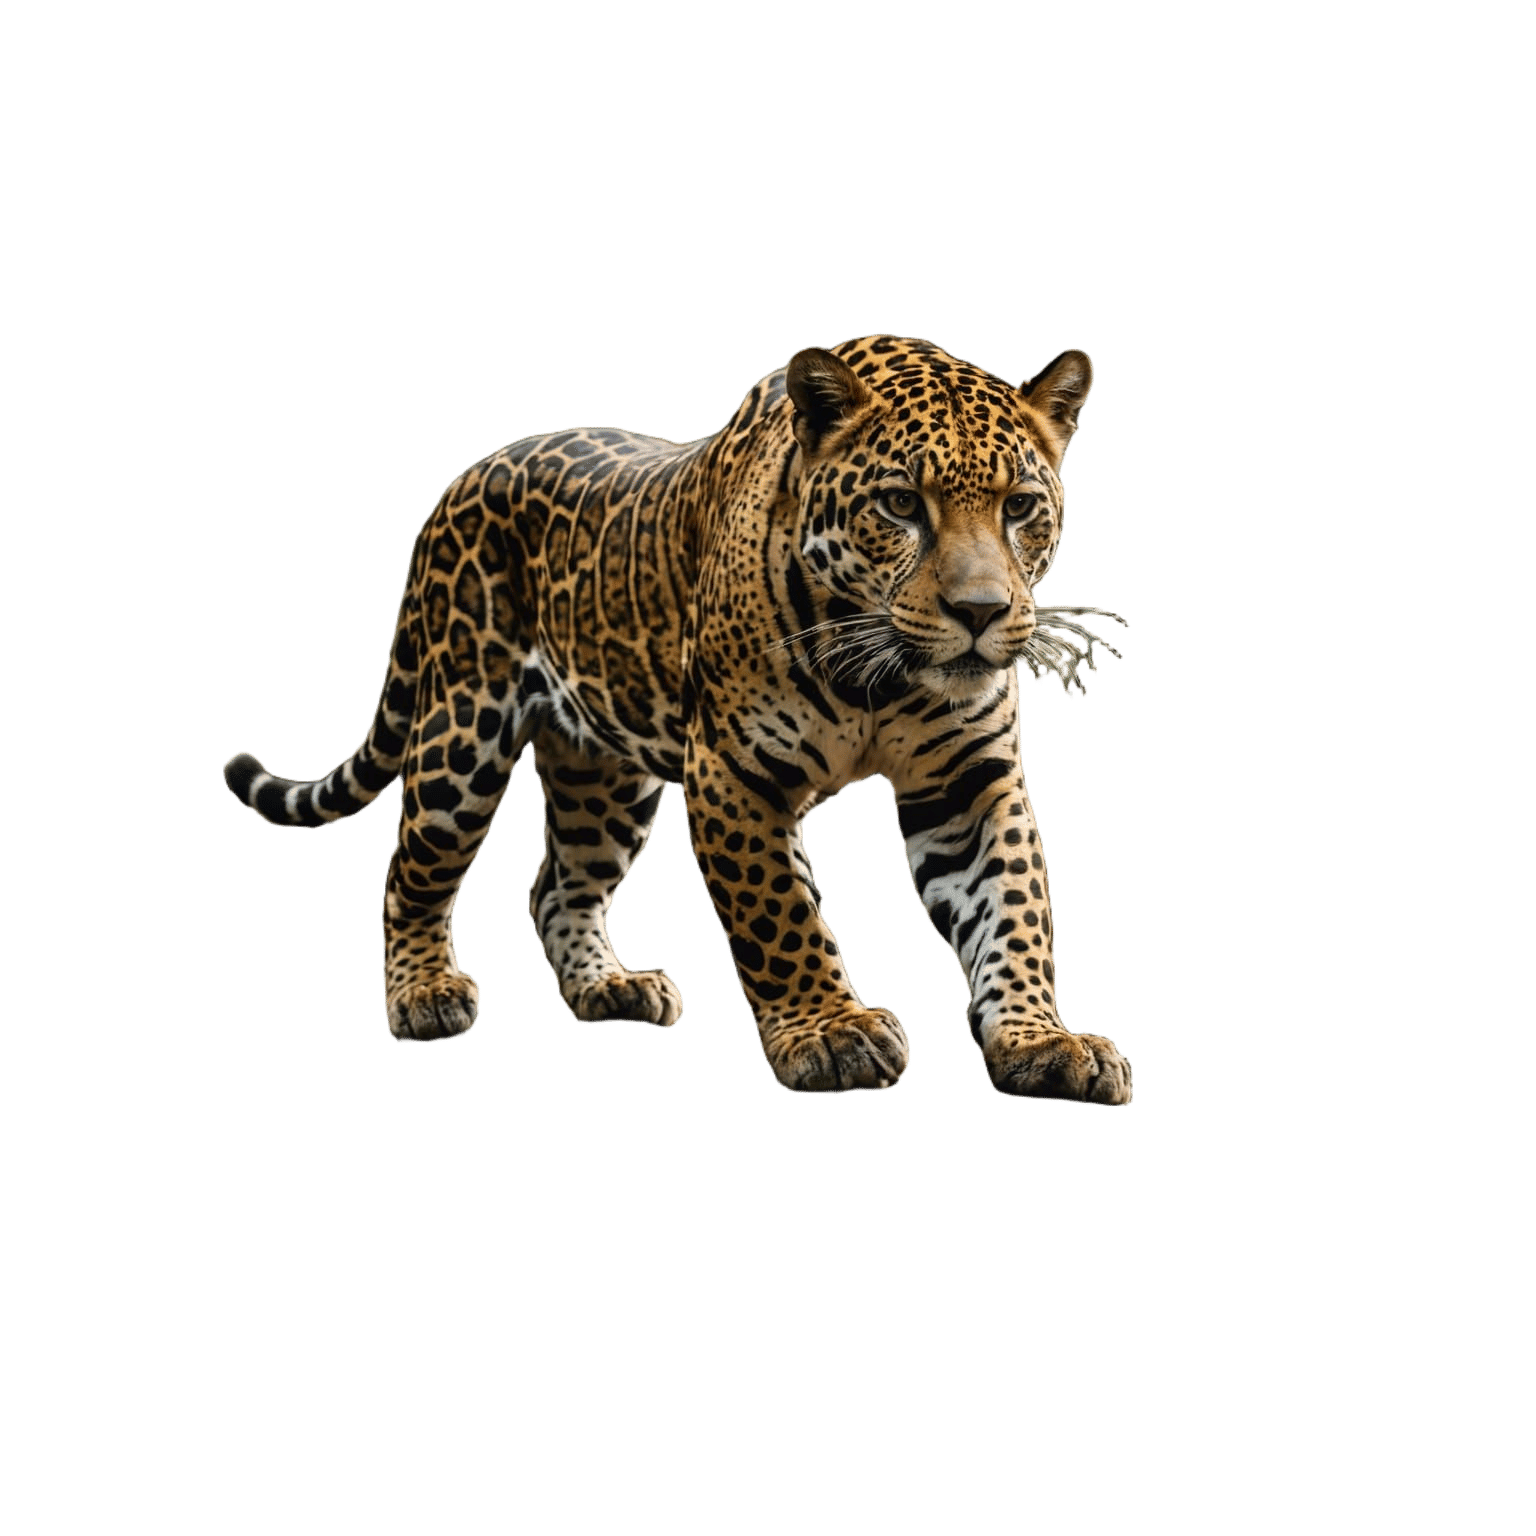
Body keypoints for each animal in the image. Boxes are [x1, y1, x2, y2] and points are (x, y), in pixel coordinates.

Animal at [222, 335, 1133, 1104]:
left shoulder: (971, 779)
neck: (874, 672)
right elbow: (779, 915)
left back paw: (608, 988)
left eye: (1020, 506)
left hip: (604, 776)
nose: (981, 611)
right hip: (462, 732)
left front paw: (1040, 1039)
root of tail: (458, 484)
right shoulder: (734, 773)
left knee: (556, 887)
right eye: (902, 504)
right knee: (410, 872)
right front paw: (830, 1033)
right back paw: (423, 994)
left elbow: (1014, 910)